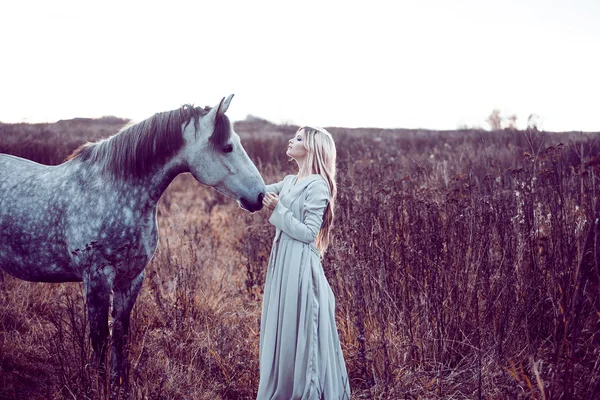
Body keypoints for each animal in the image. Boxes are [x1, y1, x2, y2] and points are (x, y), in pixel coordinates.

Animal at [0, 94, 264, 394]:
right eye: (227, 146)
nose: (260, 196)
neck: (115, 190)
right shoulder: (97, 277)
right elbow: (100, 338)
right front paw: (100, 387)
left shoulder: (132, 277)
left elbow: (121, 334)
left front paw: (120, 385)